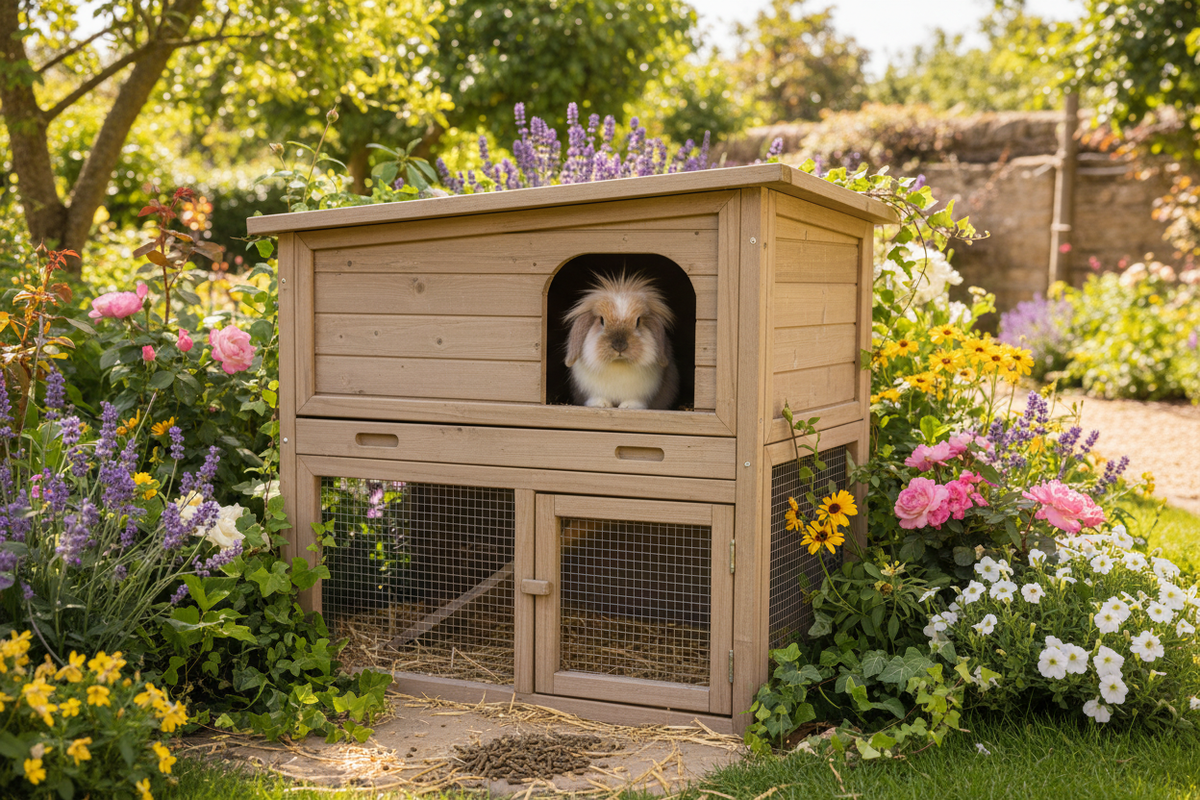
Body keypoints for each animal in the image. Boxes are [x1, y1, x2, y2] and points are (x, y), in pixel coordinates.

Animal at [563, 272, 680, 409]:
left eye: (638, 321)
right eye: (601, 320)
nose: (619, 346)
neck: (618, 363)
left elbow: (635, 400)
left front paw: (629, 406)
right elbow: (597, 397)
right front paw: (601, 404)